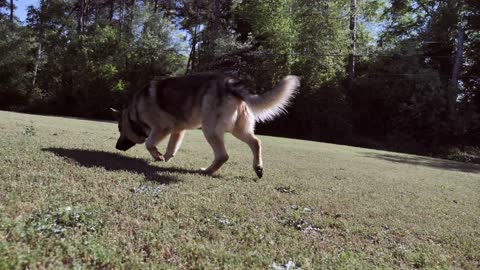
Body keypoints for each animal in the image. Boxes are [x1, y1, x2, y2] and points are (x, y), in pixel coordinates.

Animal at [111, 72, 300, 177]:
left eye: (120, 129)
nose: (116, 147)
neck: (135, 113)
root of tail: (229, 83)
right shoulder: (178, 131)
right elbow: (171, 149)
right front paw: (163, 157)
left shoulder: (161, 128)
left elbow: (149, 143)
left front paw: (157, 156)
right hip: (238, 129)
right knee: (256, 142)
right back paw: (258, 168)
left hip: (210, 130)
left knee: (223, 155)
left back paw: (206, 171)